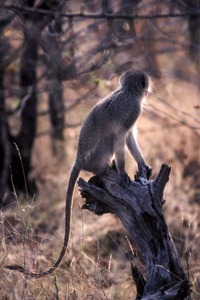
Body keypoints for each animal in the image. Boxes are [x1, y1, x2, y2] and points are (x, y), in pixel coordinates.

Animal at [4, 69, 152, 276]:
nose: (148, 87)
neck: (128, 92)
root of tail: (79, 158)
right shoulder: (131, 111)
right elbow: (120, 138)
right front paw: (123, 173)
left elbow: (130, 138)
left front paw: (142, 163)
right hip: (96, 156)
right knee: (109, 143)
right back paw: (107, 169)